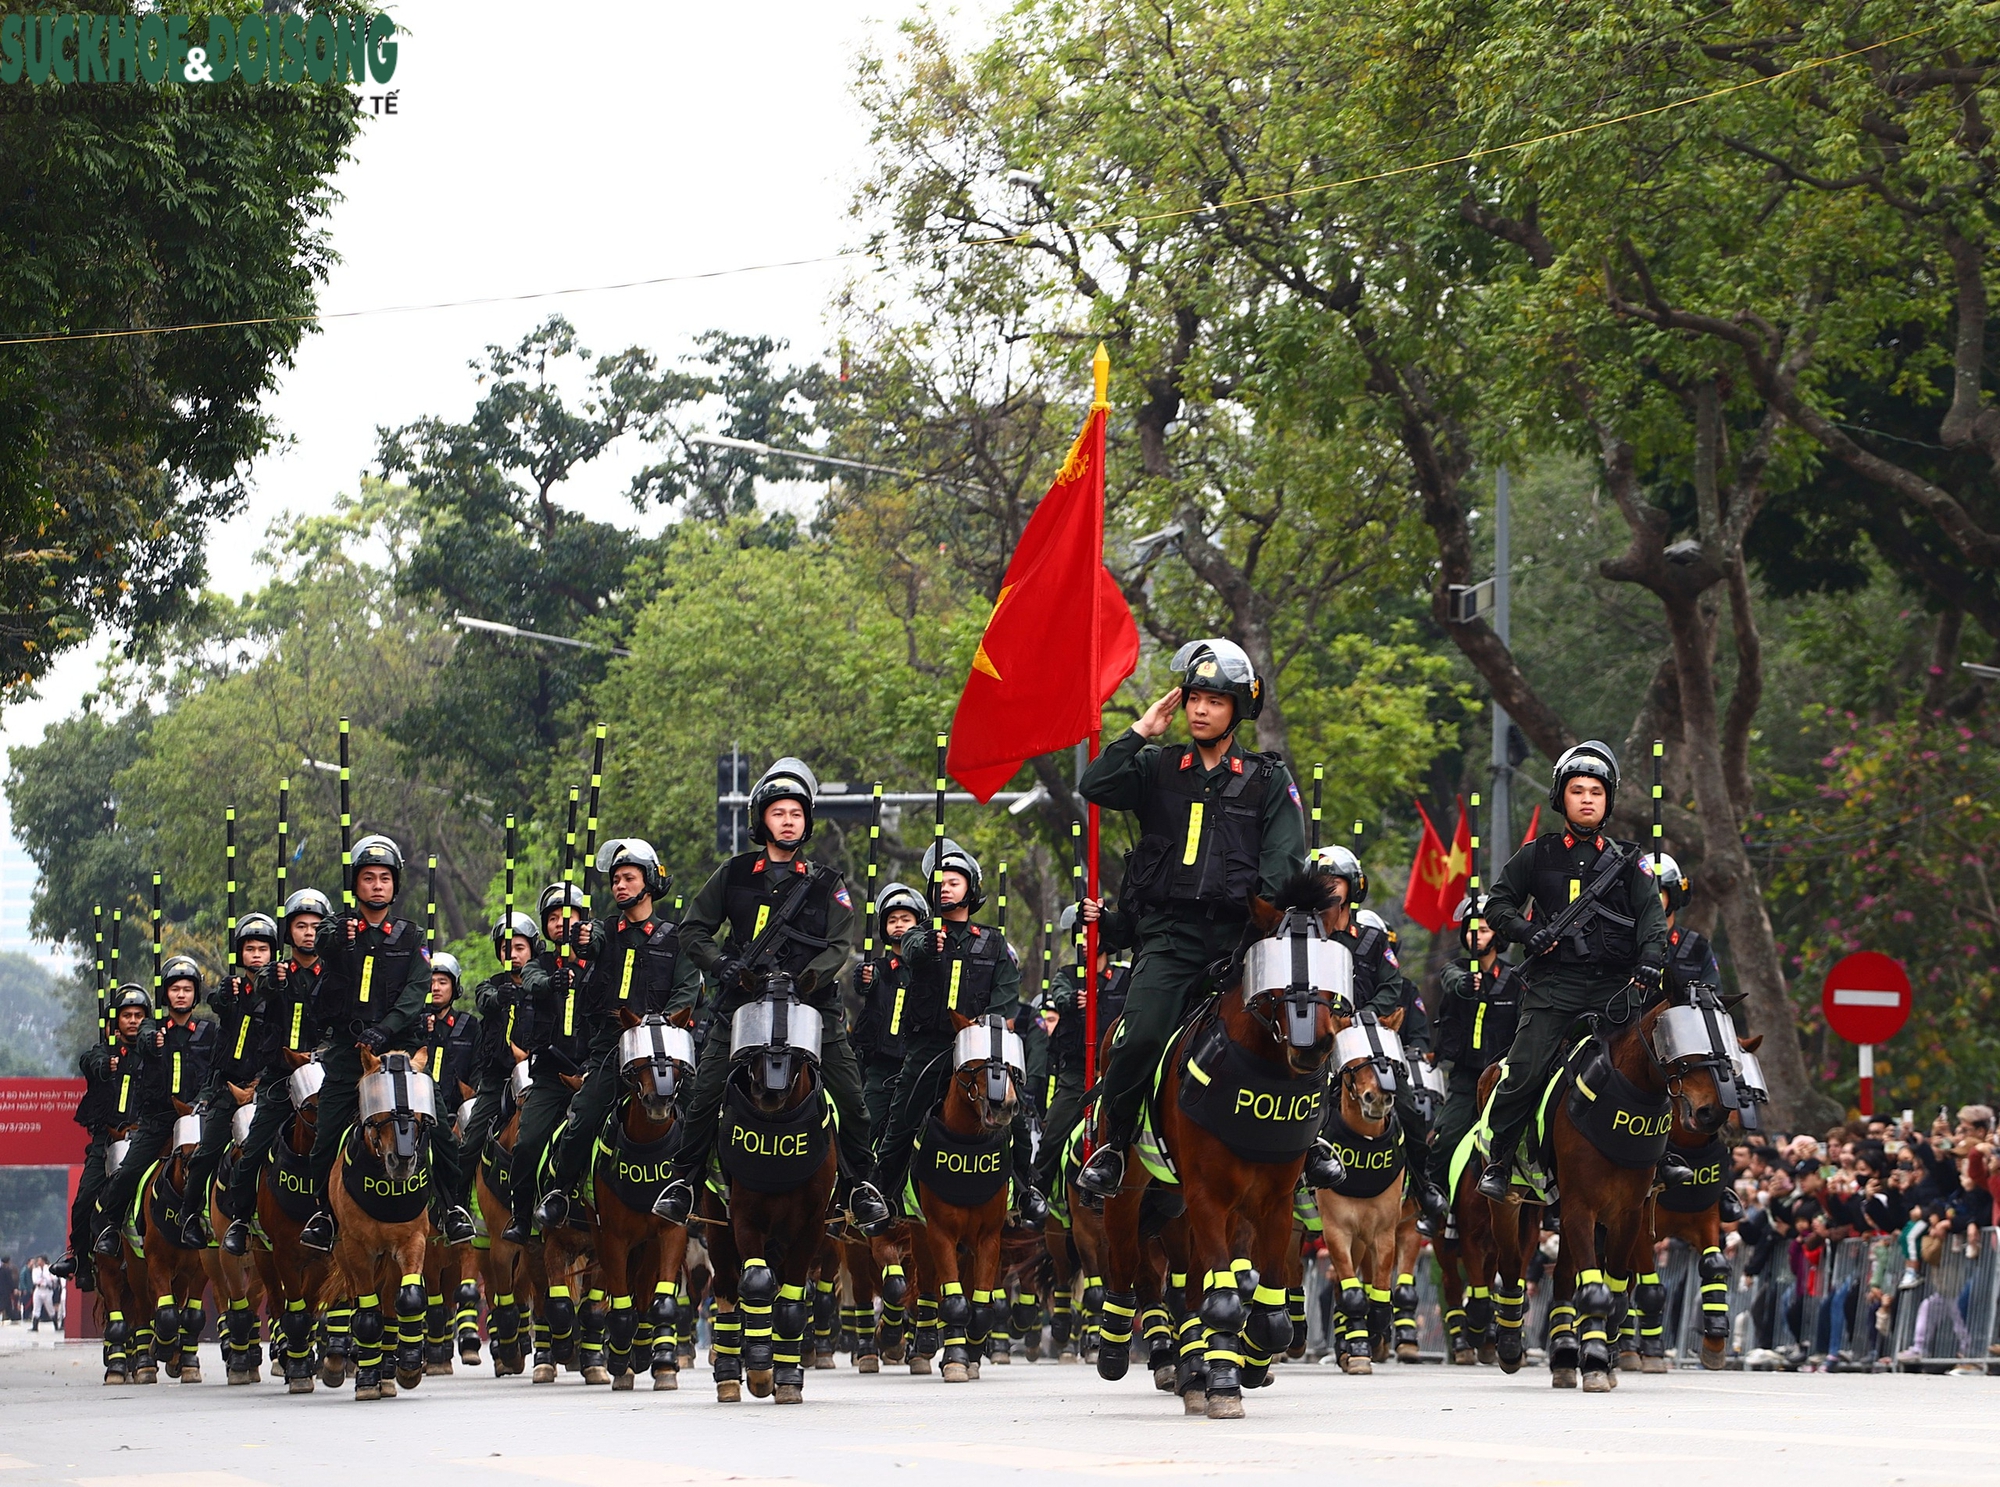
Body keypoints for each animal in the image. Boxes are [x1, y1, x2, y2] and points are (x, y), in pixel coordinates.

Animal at [704, 975, 836, 1407]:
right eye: (754, 1040)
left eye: (796, 1045)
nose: (770, 1093)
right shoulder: (746, 1219)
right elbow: (756, 1284)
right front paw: (761, 1371)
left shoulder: (812, 1226)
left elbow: (791, 1303)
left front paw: (787, 1376)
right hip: (717, 1228)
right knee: (728, 1290)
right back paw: (730, 1373)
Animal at [1096, 875, 1344, 1423]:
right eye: (1275, 963)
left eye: (1333, 960)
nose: (1313, 1045)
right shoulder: (1209, 1196)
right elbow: (1224, 1301)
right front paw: (1227, 1386)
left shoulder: (1272, 1201)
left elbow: (1267, 1308)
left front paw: (1248, 1364)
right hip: (1132, 1194)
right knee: (1128, 1266)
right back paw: (1120, 1348)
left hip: (1182, 1208)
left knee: (1186, 1286)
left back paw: (1196, 1371)